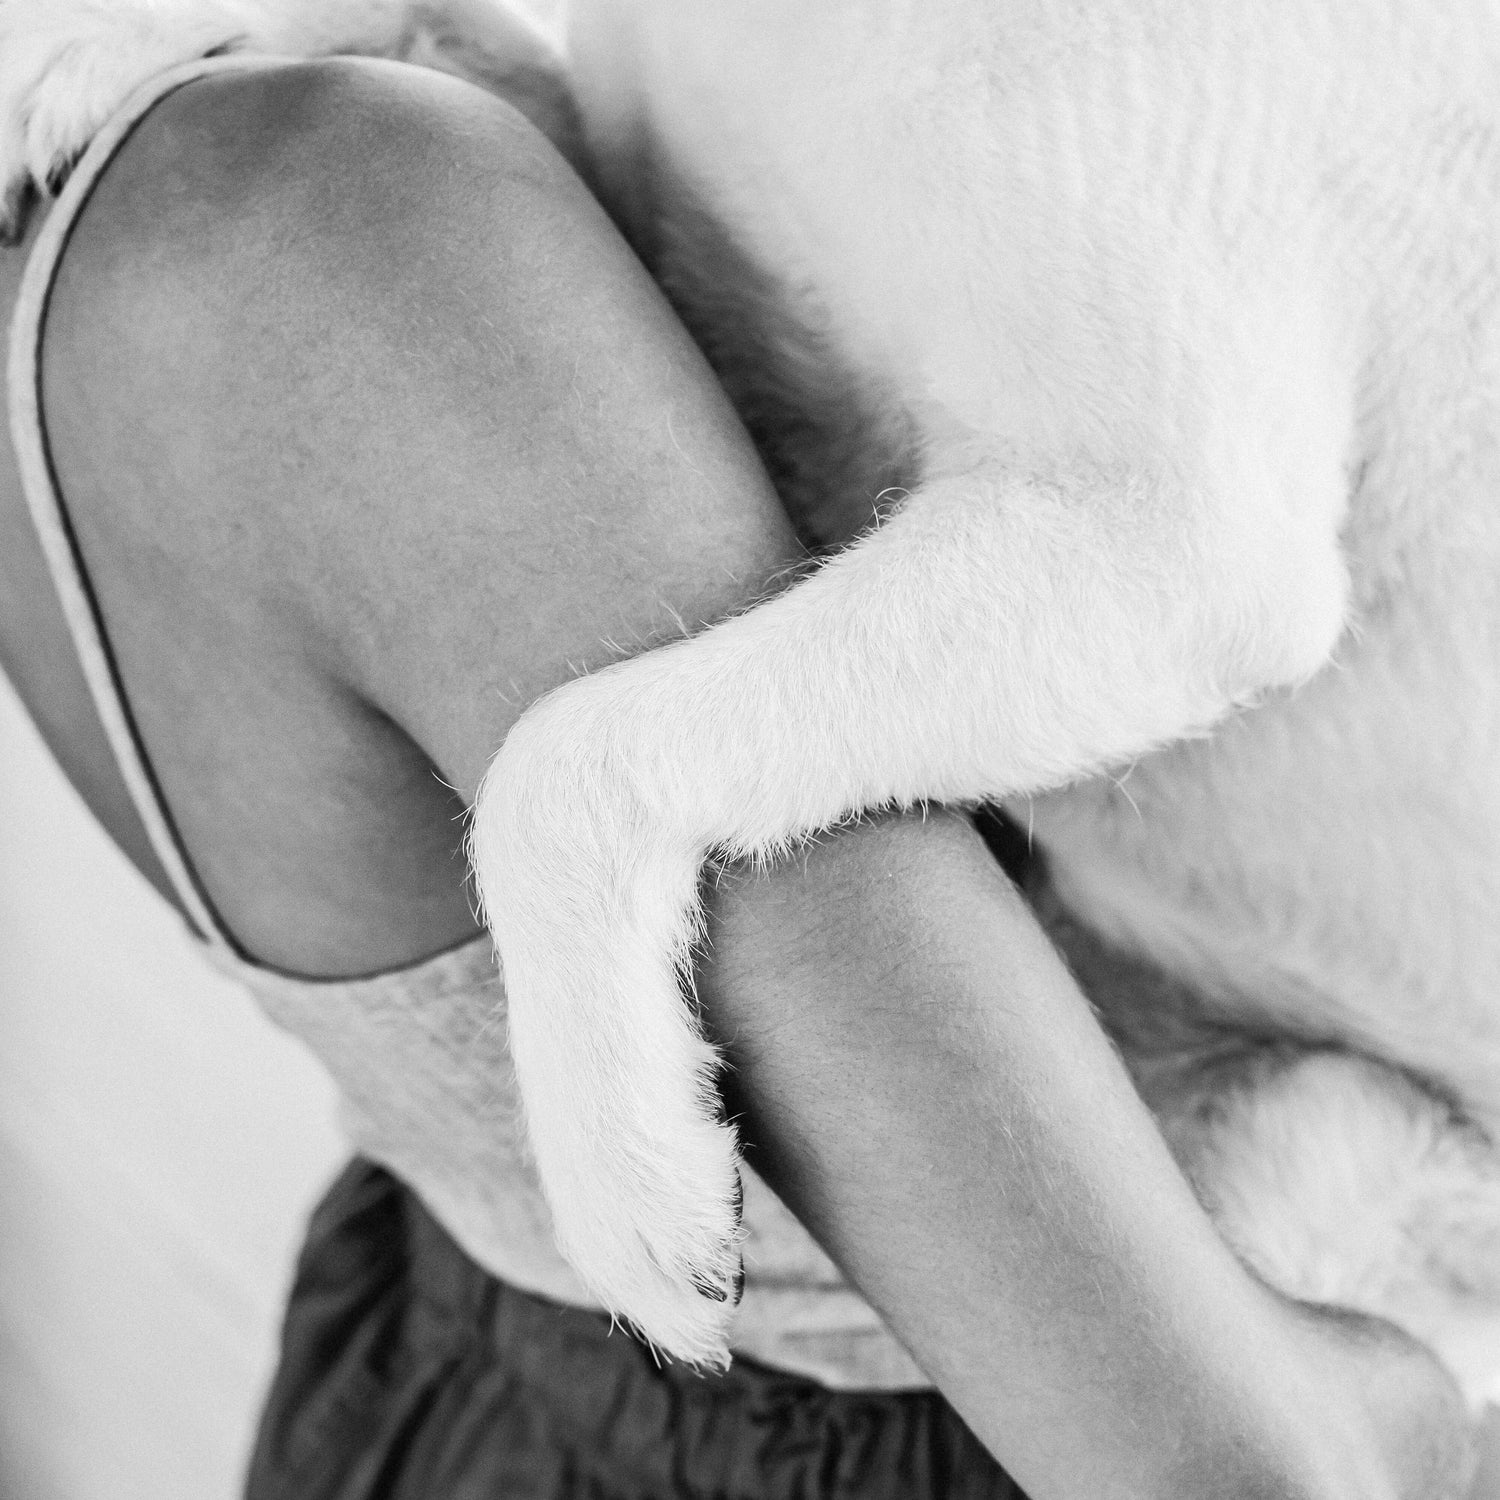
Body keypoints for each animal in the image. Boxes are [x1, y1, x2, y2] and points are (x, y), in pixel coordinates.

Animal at [2, 0, 1500, 1404]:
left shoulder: (1169, 536)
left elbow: (561, 764)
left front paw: (618, 1162)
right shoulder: (669, 211)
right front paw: (127, 34)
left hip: (1301, 1157)